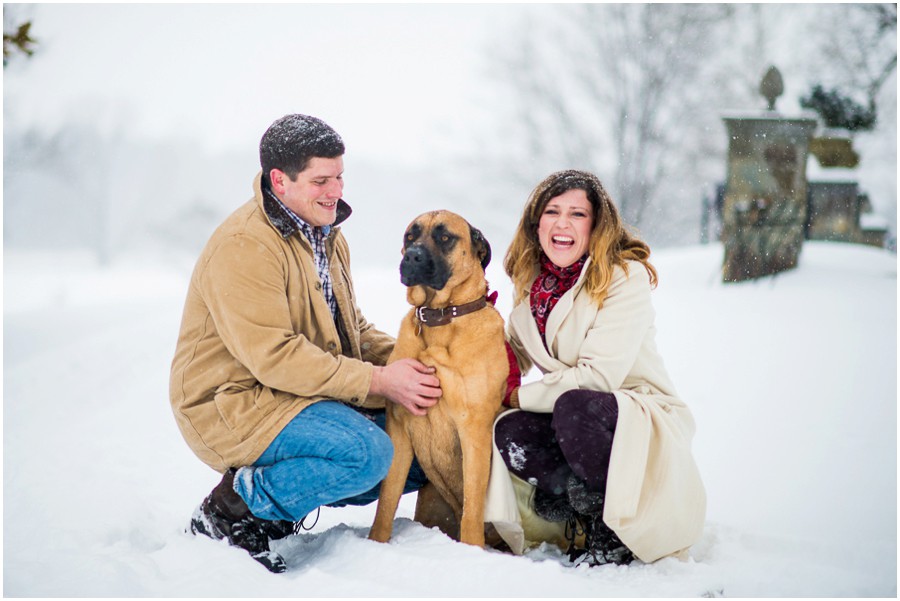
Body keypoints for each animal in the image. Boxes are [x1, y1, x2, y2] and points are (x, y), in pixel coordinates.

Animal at [366, 212, 506, 548]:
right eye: (410, 236)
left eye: (445, 238)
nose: (413, 256)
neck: (441, 318)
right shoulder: (399, 428)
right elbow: (386, 501)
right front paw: (376, 542)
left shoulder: (474, 431)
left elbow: (472, 510)